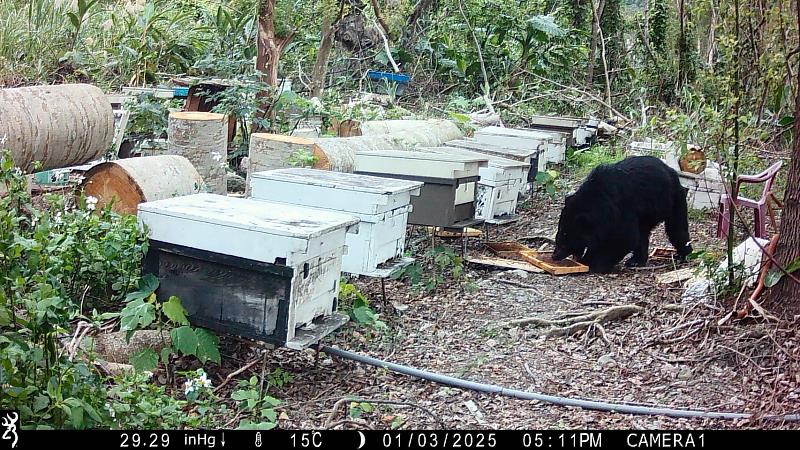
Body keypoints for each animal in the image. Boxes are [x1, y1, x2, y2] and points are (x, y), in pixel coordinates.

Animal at [552, 155, 693, 274]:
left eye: (565, 240)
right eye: (558, 238)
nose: (554, 256)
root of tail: (671, 171)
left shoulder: (622, 208)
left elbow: (624, 238)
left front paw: (592, 262)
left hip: (672, 200)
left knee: (676, 228)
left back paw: (684, 254)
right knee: (643, 234)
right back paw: (636, 261)